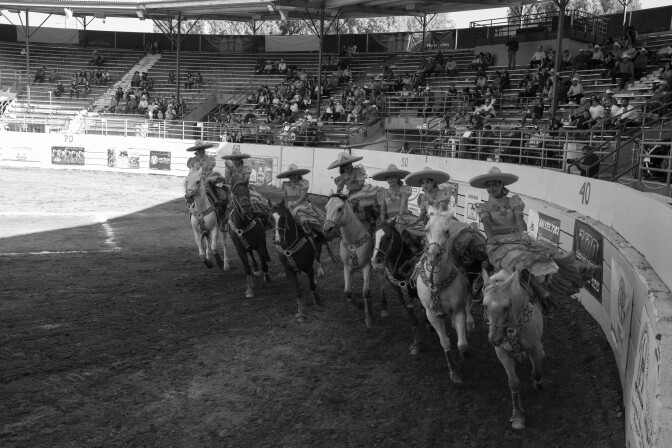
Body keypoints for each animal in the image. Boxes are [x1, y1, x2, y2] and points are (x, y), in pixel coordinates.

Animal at [322, 194, 376, 328]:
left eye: (340, 208)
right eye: (326, 207)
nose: (327, 229)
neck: (353, 240)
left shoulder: (366, 265)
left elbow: (366, 291)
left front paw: (369, 318)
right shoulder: (347, 267)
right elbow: (347, 291)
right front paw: (360, 305)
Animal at [370, 220, 422, 354]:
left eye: (388, 237)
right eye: (373, 237)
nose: (376, 261)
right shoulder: (401, 296)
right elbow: (413, 319)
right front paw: (416, 344)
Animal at [414, 209, 472, 382]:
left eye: (447, 231)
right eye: (426, 229)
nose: (433, 256)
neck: (437, 283)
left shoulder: (458, 310)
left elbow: (462, 344)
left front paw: (465, 353)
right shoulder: (432, 313)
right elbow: (445, 342)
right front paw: (454, 370)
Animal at [480, 268, 544, 428]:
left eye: (506, 307)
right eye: (484, 305)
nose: (495, 339)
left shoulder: (534, 347)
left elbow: (537, 371)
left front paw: (538, 385)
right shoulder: (502, 352)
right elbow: (513, 382)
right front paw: (518, 415)